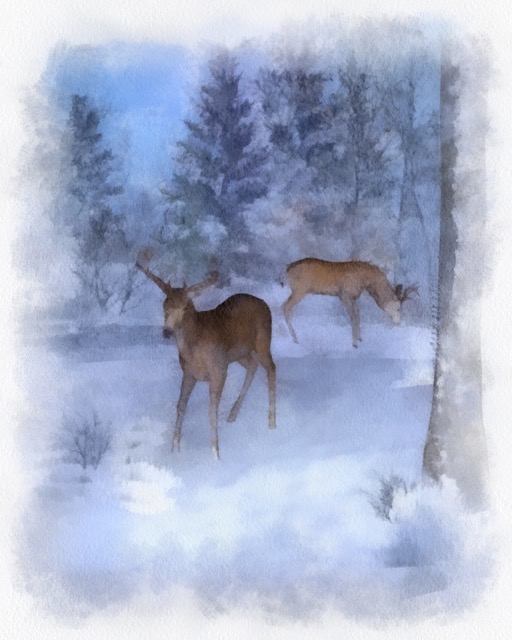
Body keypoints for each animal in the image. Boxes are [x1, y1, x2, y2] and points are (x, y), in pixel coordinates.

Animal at [136, 261, 276, 460]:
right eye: (164, 306)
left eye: (185, 307)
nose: (167, 331)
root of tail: (264, 304)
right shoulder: (188, 373)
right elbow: (180, 406)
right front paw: (175, 449)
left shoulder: (219, 370)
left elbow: (211, 412)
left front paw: (216, 454)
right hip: (240, 354)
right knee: (253, 365)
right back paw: (232, 414)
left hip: (262, 341)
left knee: (271, 367)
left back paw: (271, 422)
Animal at [282, 258, 418, 348]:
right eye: (399, 308)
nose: (398, 322)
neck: (366, 281)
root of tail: (287, 269)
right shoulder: (345, 295)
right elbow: (353, 315)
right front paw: (354, 343)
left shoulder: (353, 297)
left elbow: (358, 313)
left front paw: (360, 338)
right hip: (300, 290)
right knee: (285, 307)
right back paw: (295, 338)